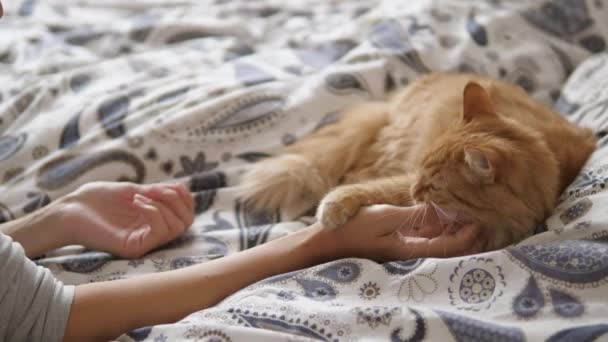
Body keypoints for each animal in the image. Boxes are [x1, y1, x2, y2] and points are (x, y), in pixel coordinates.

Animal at [240, 73, 596, 248]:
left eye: (434, 185)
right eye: (422, 174)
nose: (415, 190)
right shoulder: (402, 177)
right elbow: (371, 190)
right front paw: (332, 209)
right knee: (353, 172)